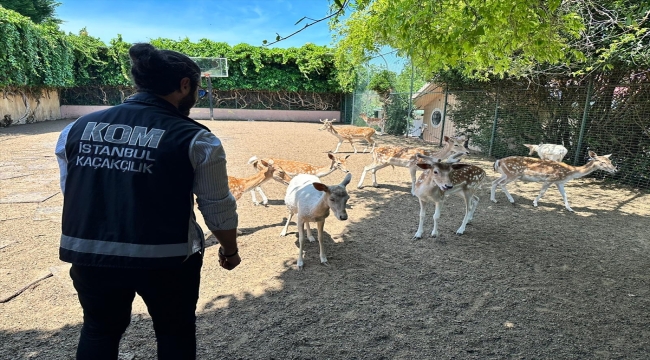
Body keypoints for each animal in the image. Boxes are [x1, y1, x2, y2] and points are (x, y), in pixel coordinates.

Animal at [488, 150, 616, 211]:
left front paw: (570, 209)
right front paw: (535, 203)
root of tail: (499, 161)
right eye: (602, 162)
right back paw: (512, 200)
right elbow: (542, 192)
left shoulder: (559, 182)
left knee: (494, 182)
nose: (615, 169)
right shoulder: (551, 178)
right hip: (513, 174)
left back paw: (494, 200)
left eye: (610, 161)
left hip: (505, 174)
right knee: (501, 184)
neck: (570, 172)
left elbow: (565, 195)